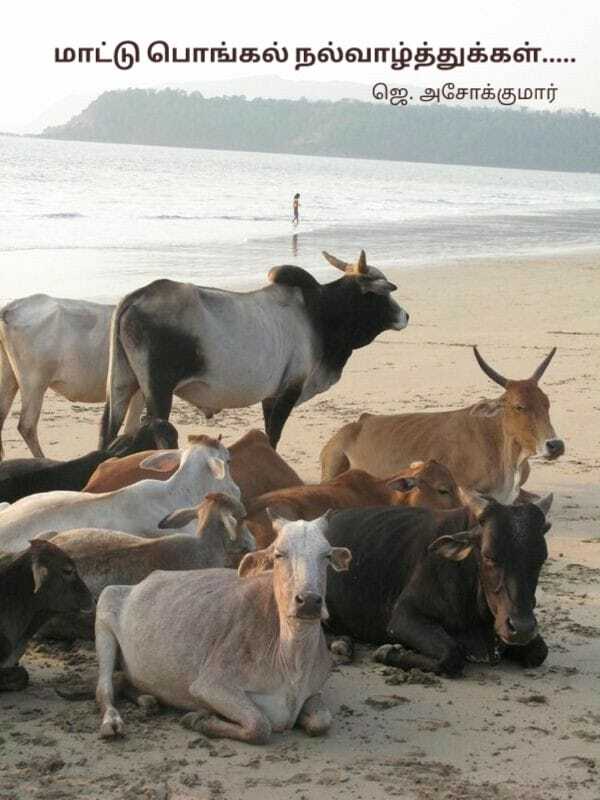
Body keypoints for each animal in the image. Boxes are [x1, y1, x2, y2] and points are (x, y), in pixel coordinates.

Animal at [94, 512, 351, 742]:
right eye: (279, 554)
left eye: (327, 555)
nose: (308, 601)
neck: (291, 660)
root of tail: (144, 580)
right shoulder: (210, 684)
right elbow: (259, 725)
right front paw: (198, 719)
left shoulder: (314, 691)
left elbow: (321, 722)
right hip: (105, 609)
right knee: (104, 688)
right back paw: (112, 722)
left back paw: (147, 699)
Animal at [98, 250, 409, 451]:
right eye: (382, 295)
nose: (405, 316)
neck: (320, 311)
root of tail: (135, 297)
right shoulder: (289, 389)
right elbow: (273, 434)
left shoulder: (272, 394)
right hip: (158, 390)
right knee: (157, 431)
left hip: (122, 384)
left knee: (107, 430)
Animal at [322, 490, 553, 676]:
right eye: (488, 555)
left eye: (541, 558)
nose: (521, 628)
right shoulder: (404, 617)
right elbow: (451, 655)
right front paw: (387, 651)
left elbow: (540, 652)